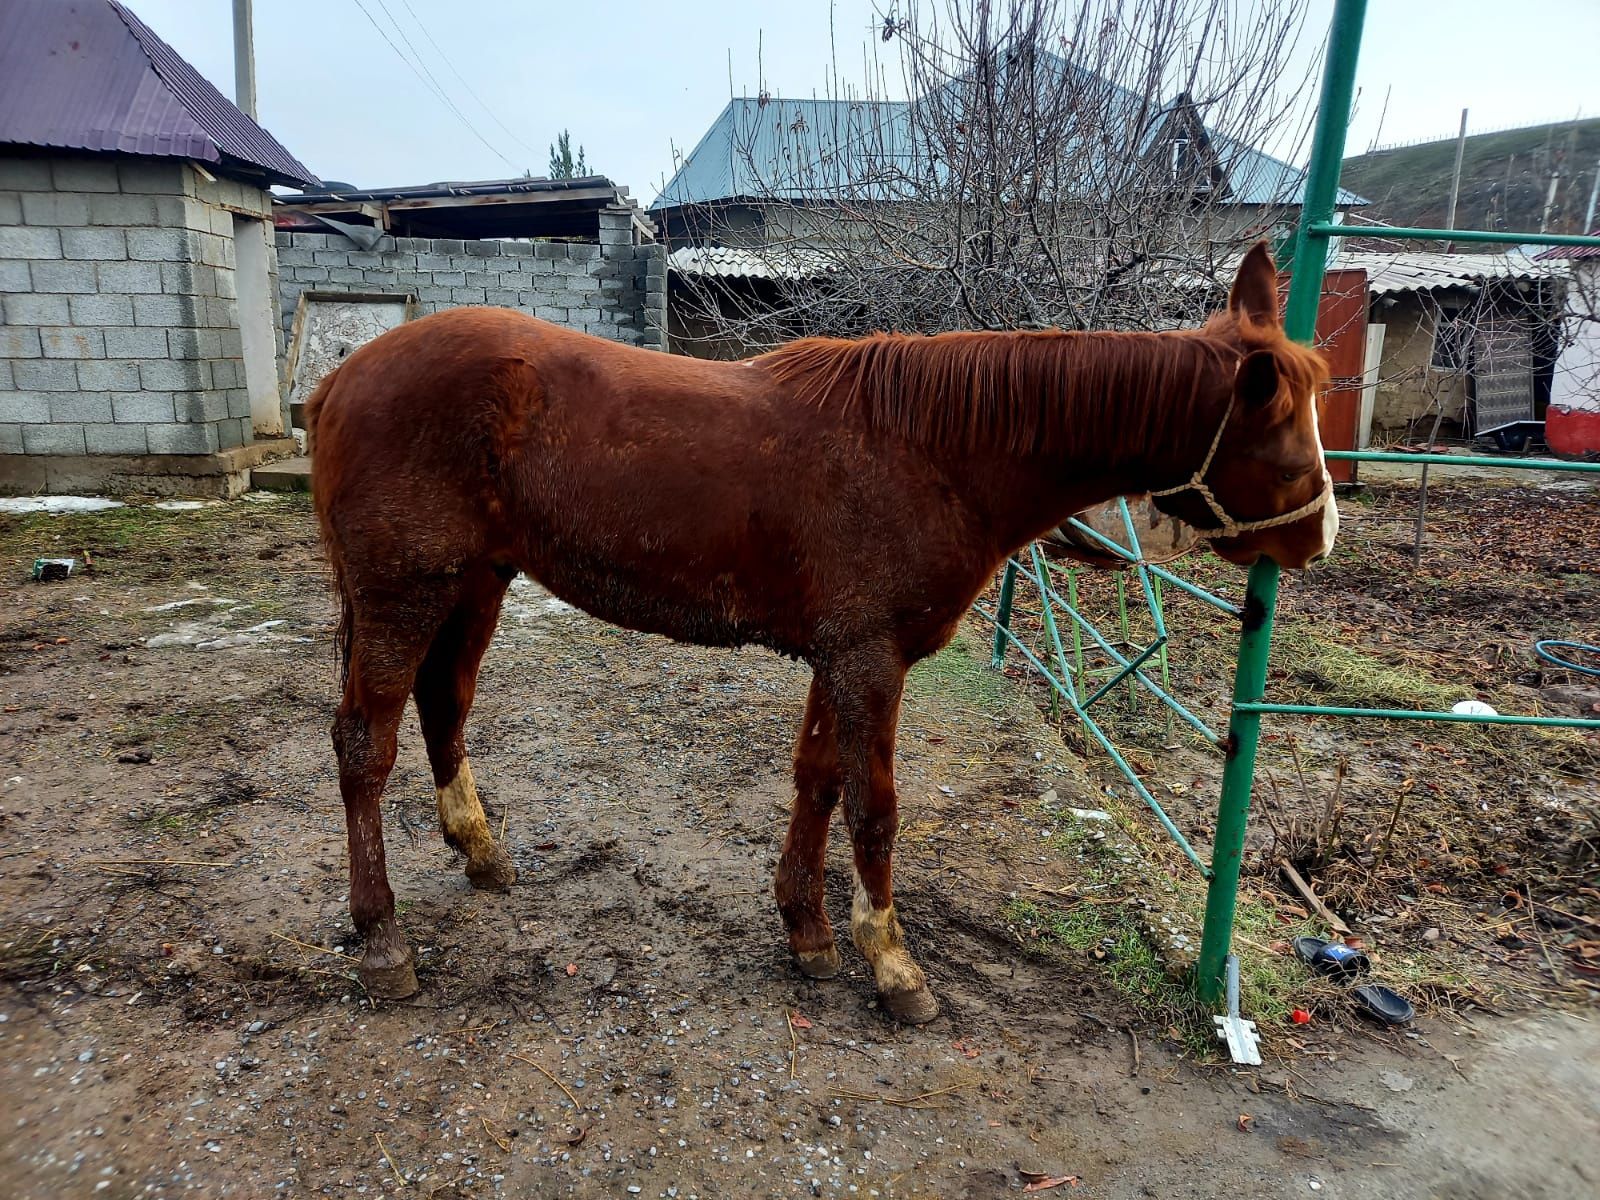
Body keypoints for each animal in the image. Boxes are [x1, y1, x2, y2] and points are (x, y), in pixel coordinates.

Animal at [312, 240, 1337, 1017]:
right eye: (1289, 453)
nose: (1321, 537)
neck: (936, 450)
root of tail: (343, 376)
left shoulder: (838, 656)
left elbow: (817, 782)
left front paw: (805, 931)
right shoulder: (871, 660)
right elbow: (873, 809)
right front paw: (892, 962)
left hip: (473, 586)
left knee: (445, 708)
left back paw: (481, 852)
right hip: (404, 595)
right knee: (365, 745)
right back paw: (384, 938)